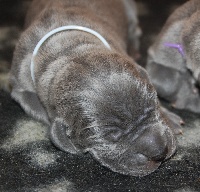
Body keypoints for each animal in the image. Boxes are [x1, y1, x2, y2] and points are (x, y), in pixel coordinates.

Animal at [9, 0, 181, 176]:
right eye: (111, 135)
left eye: (153, 106)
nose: (160, 152)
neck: (68, 51)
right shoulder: (20, 87)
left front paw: (170, 119)